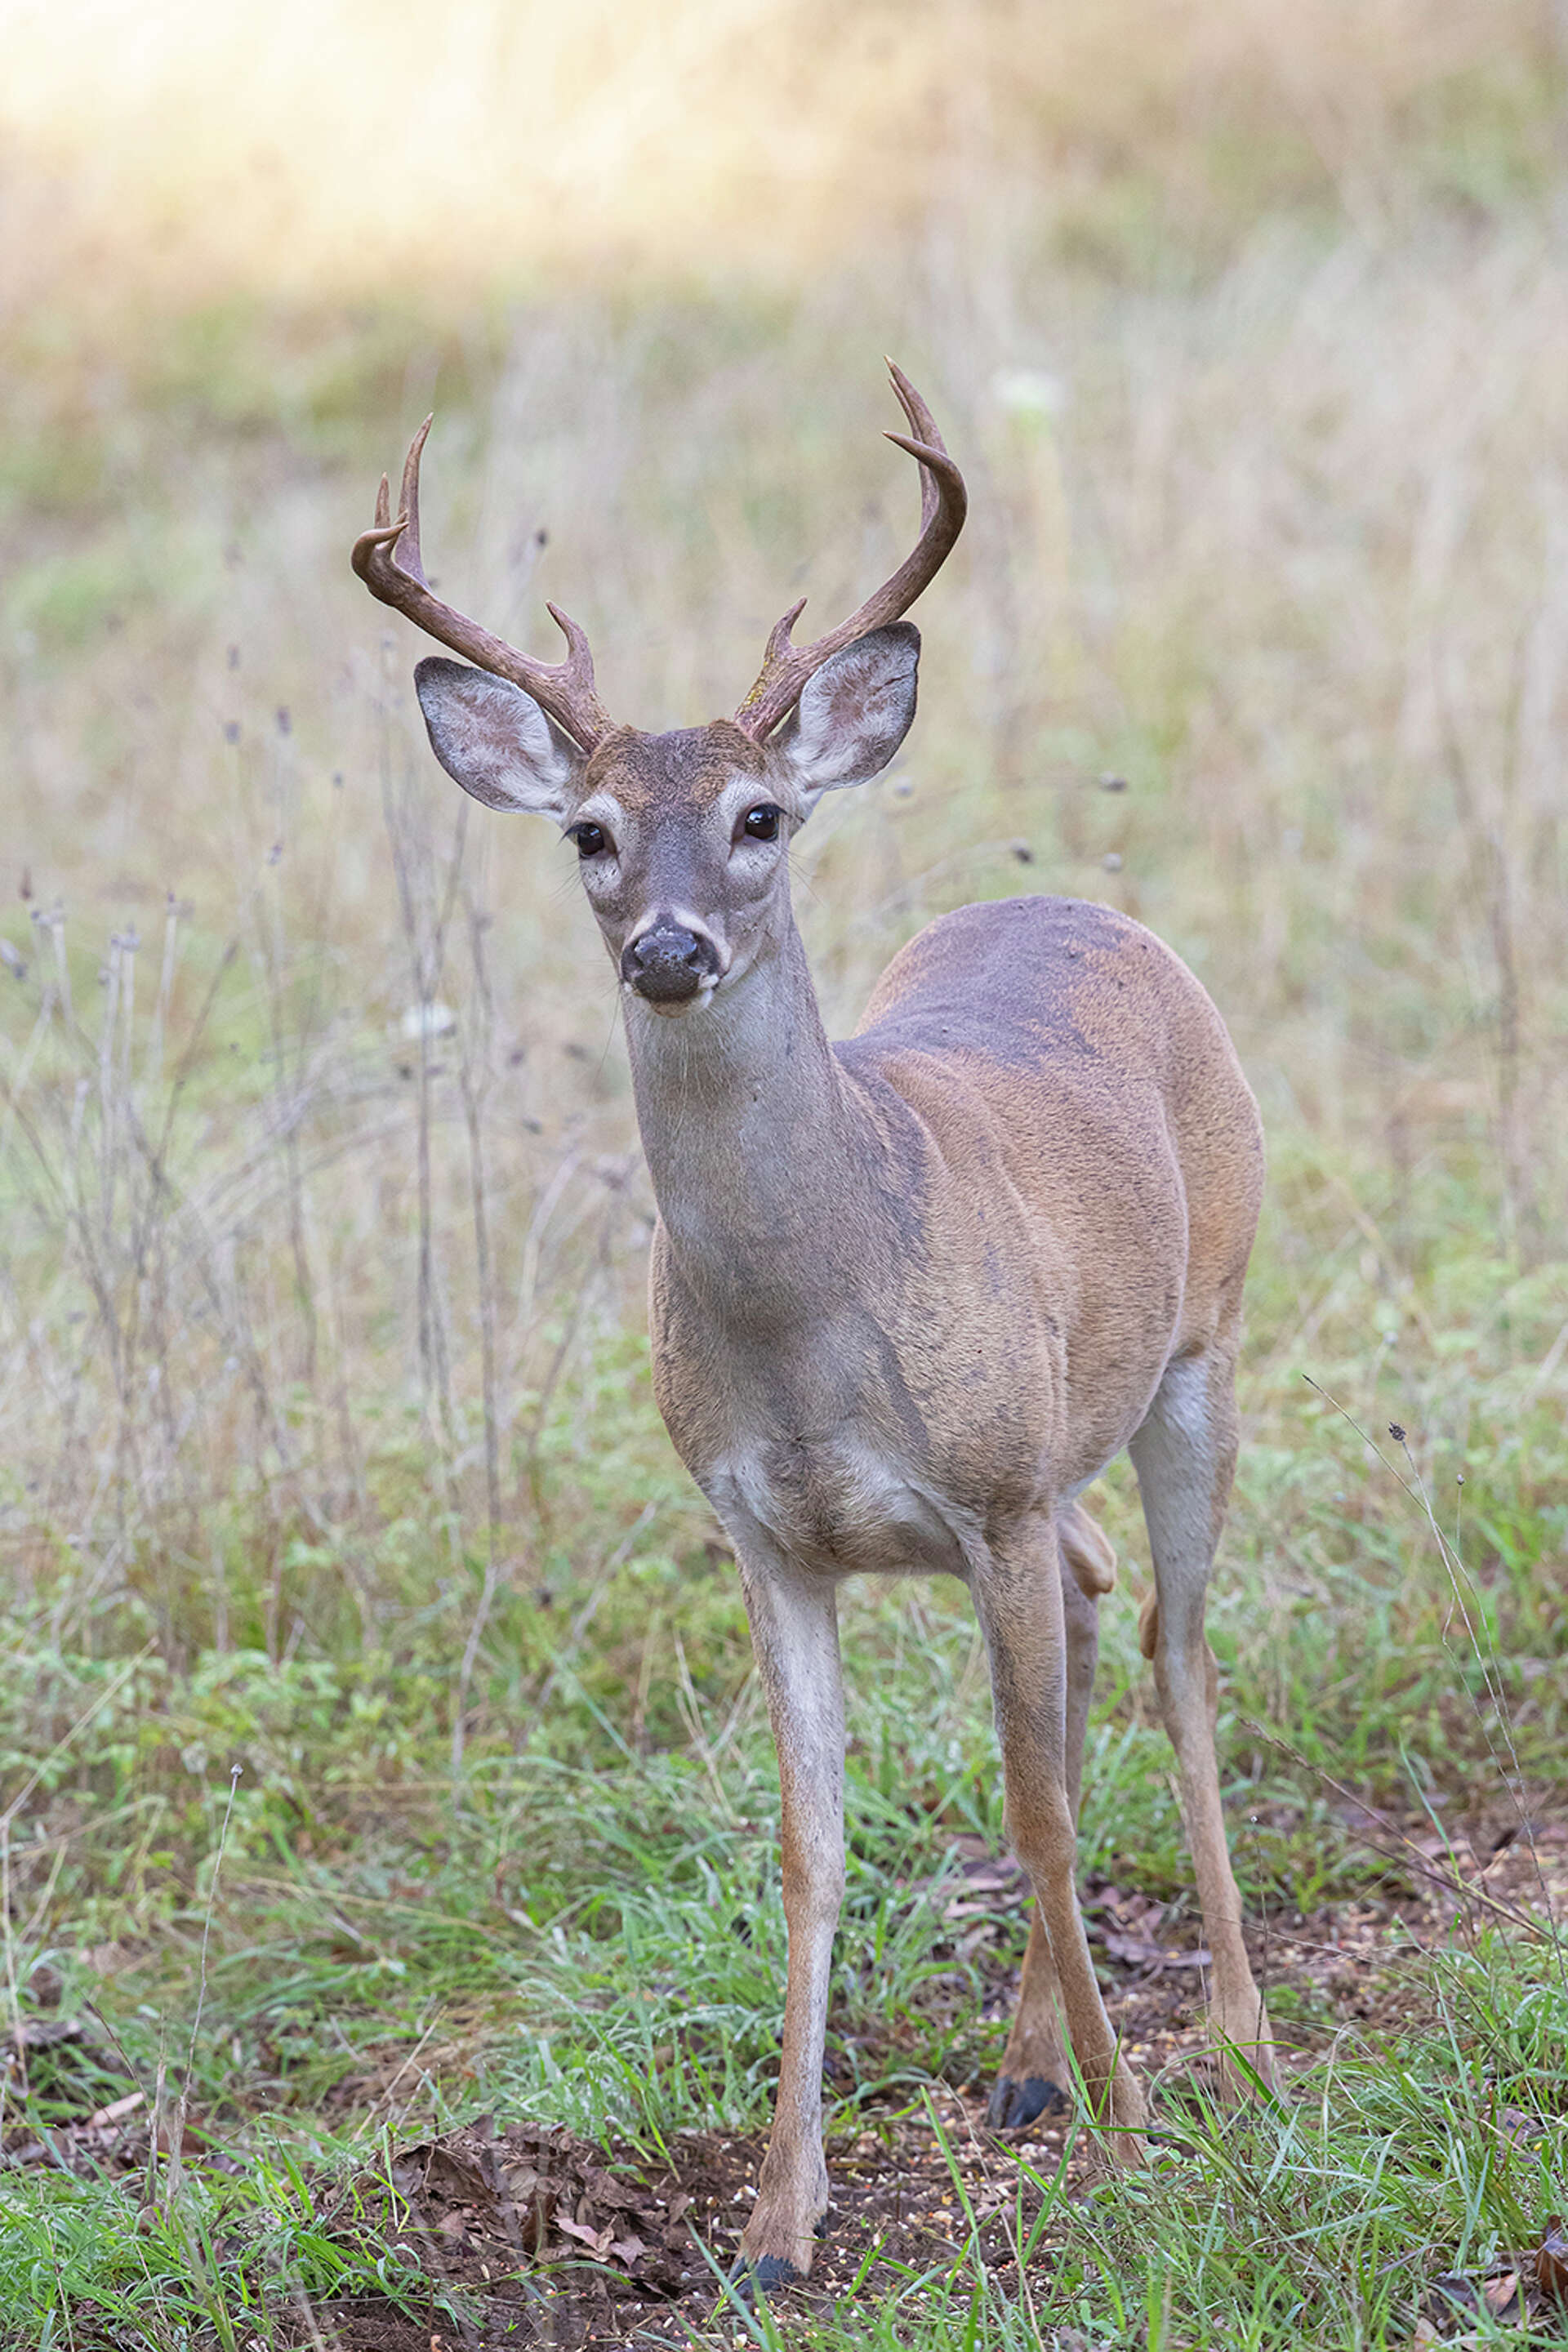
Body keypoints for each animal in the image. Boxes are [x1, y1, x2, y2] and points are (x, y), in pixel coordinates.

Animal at [351, 364, 1277, 2293]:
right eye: (589, 833)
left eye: (762, 816)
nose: (671, 949)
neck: (810, 1314)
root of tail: (1085, 904)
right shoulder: (765, 1533)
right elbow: (809, 1845)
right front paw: (780, 2221)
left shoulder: (990, 1488)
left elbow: (1037, 1813)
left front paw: (1135, 2136)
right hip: (1063, 1450)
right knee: (1102, 1612)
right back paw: (1026, 2066)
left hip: (1202, 1347)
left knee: (1174, 1646)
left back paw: (1230, 2034)